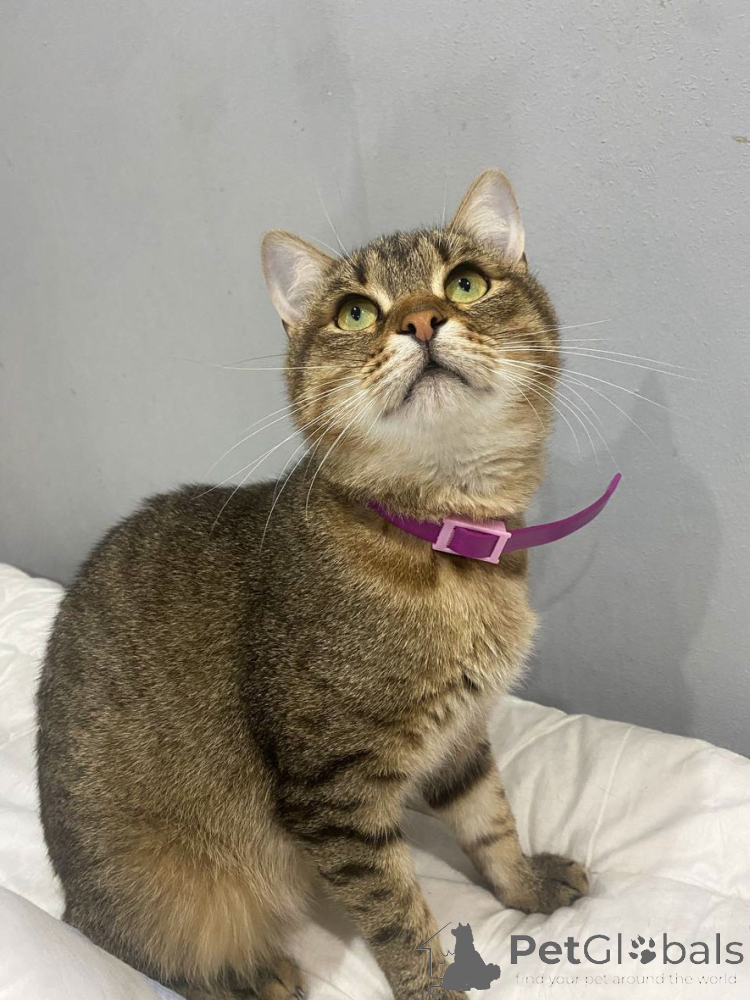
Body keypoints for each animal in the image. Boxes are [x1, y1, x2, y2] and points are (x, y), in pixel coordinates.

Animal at [36, 170, 588, 1000]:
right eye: (355, 312)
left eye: (465, 282)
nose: (421, 319)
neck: (447, 550)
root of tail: (73, 900)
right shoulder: (333, 794)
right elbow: (401, 919)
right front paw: (435, 987)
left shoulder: (459, 738)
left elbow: (491, 824)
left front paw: (526, 886)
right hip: (172, 901)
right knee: (147, 955)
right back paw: (252, 973)